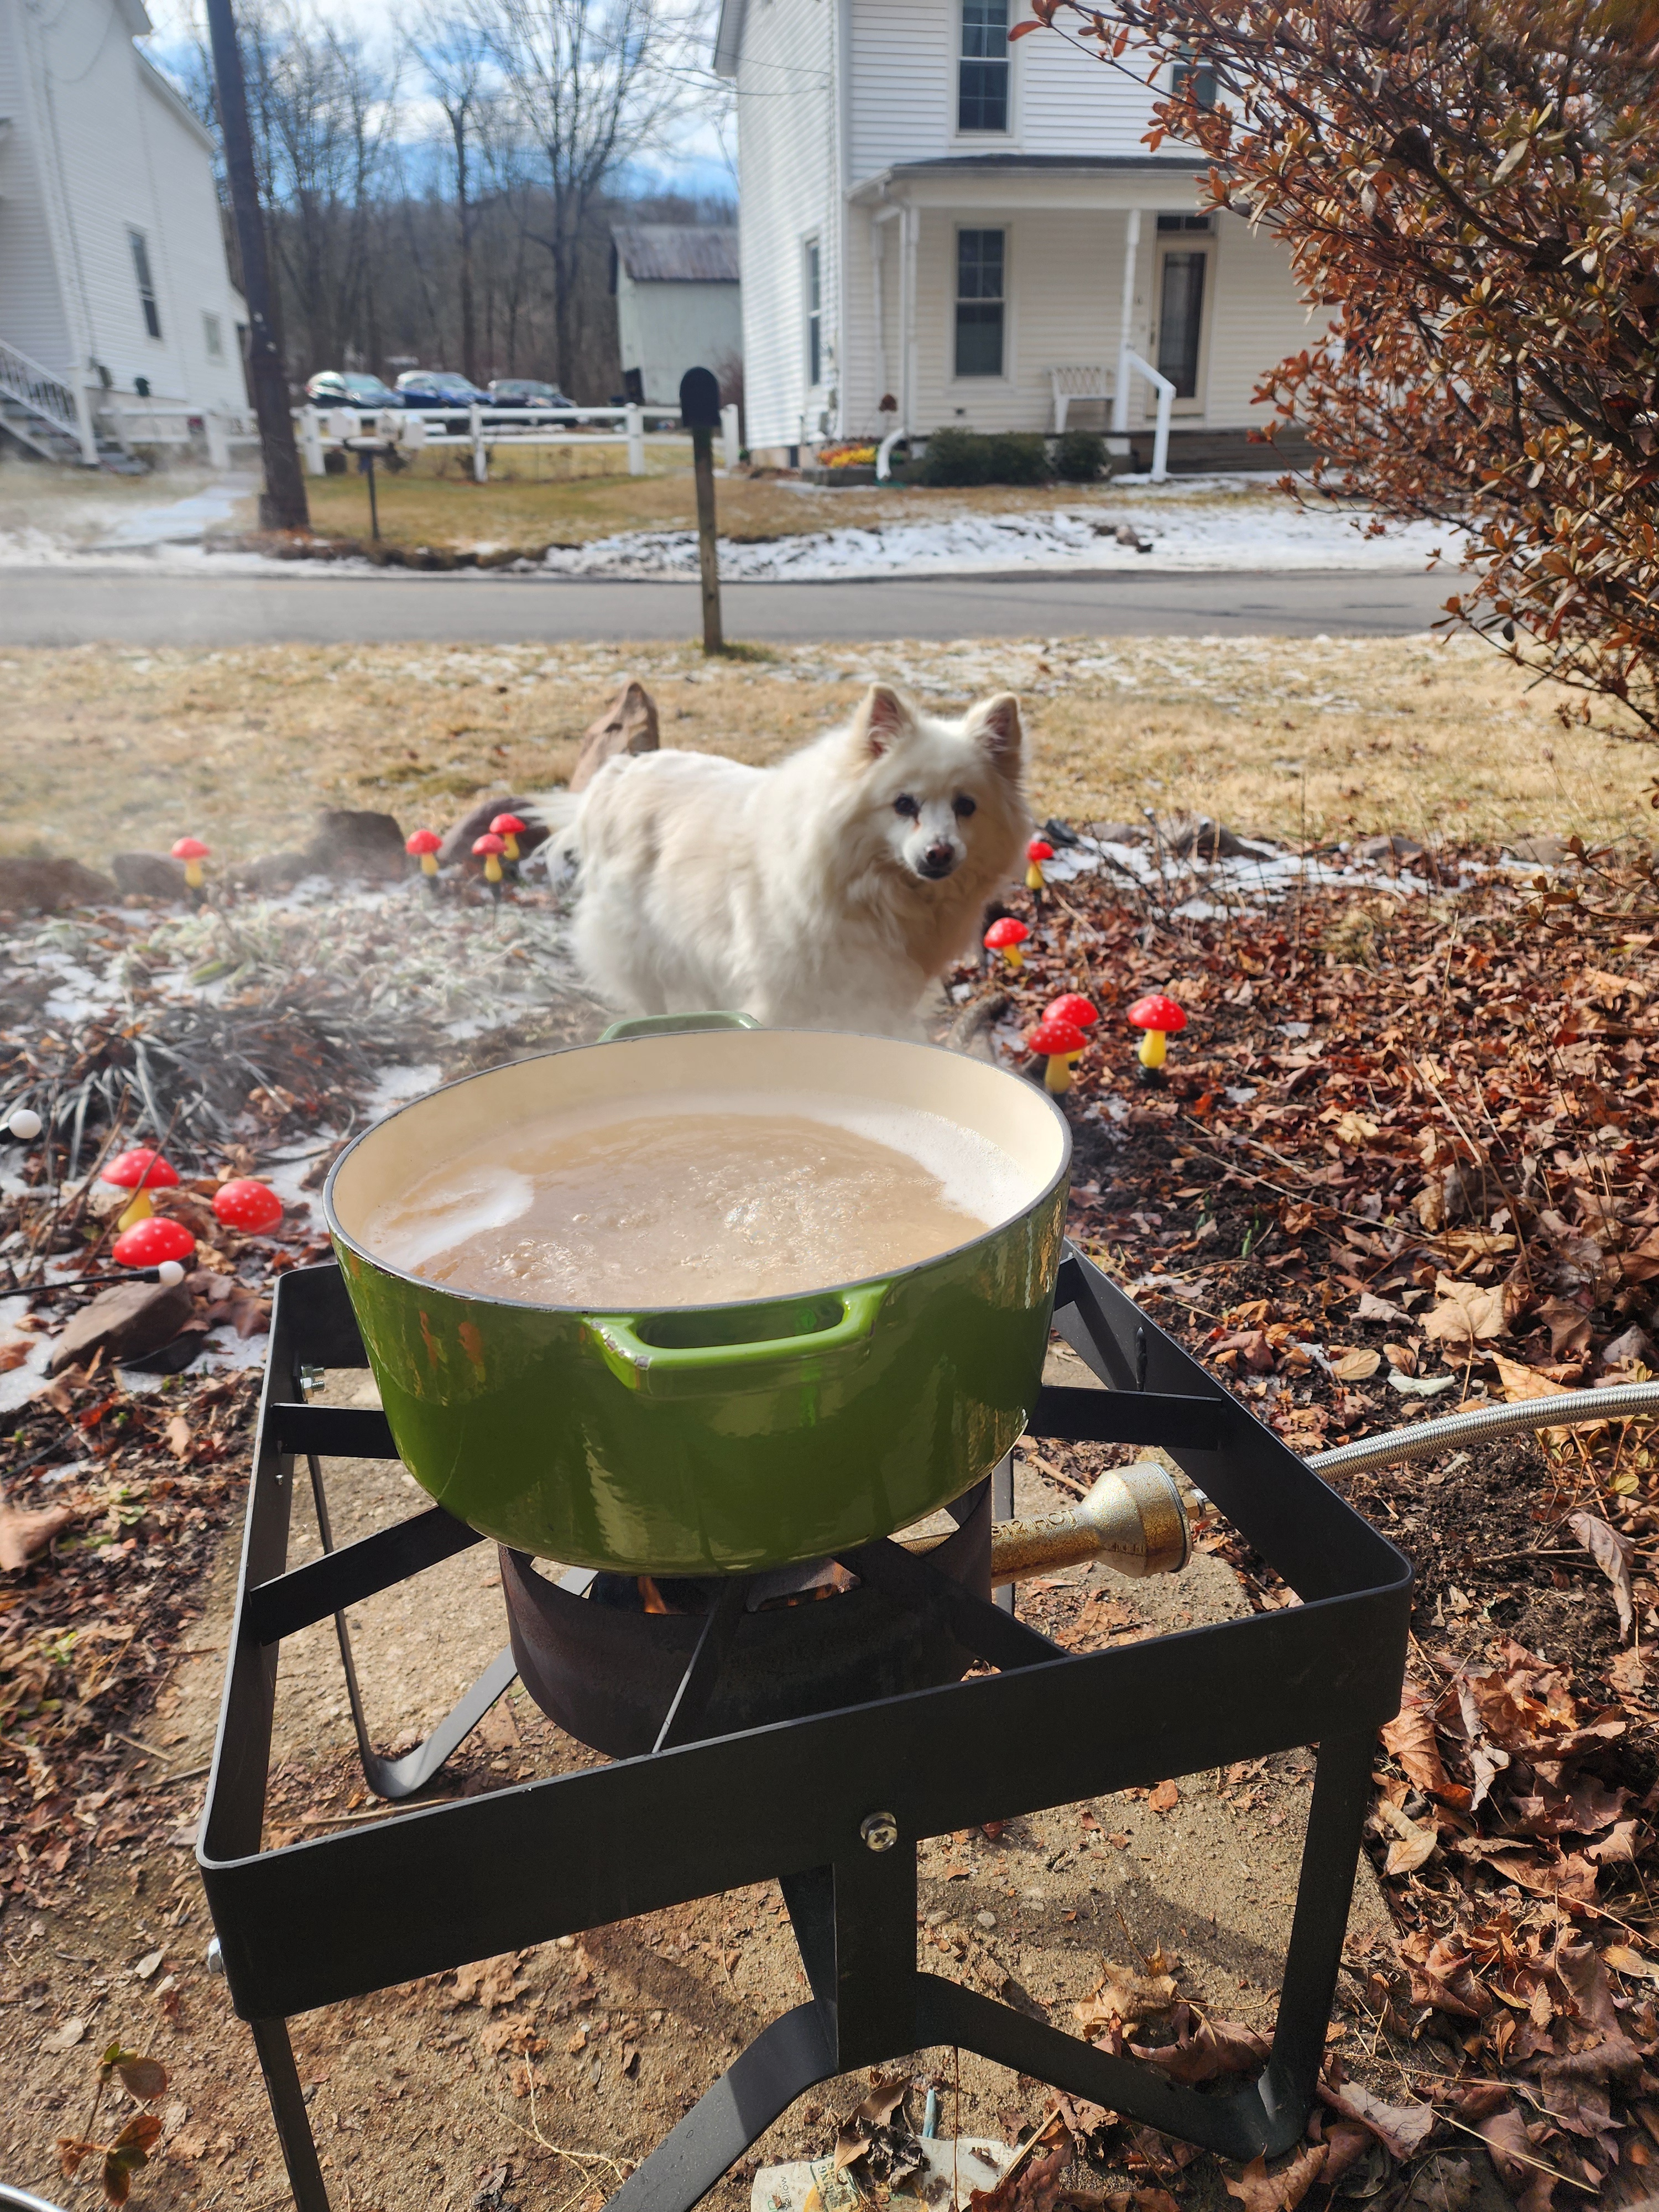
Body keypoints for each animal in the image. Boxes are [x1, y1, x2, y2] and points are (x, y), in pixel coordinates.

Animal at [546, 681, 1035, 1035]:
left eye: (966, 806)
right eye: (904, 804)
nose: (940, 853)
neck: (871, 893)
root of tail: (618, 771)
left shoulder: (879, 995)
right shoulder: (780, 997)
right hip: (641, 948)